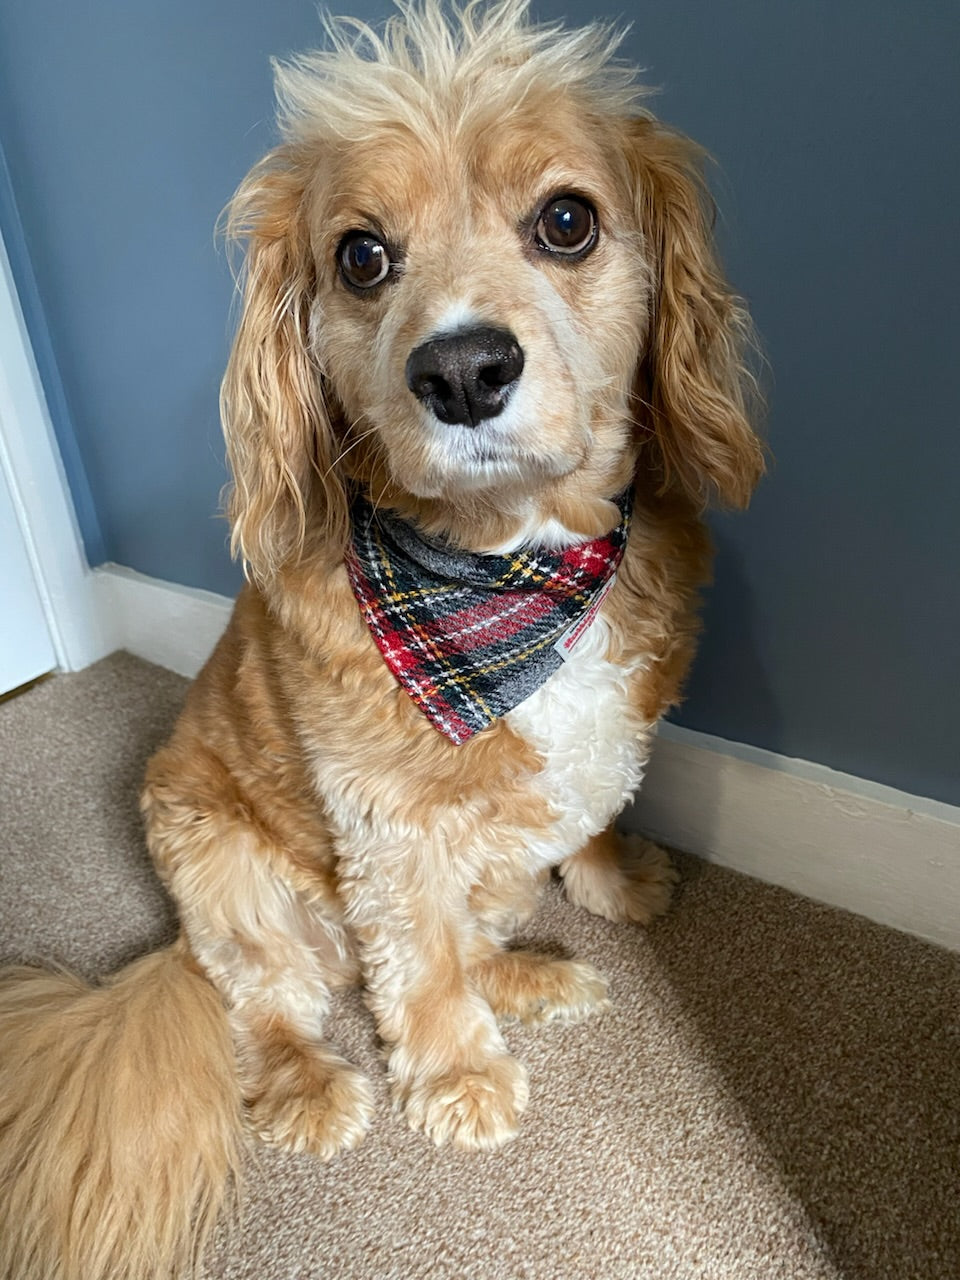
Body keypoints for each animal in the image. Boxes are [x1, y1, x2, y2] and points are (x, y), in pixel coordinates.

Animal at [0, 5, 768, 1274]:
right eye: (361, 256)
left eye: (568, 220)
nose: (461, 369)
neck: (512, 565)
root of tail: (173, 943)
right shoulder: (387, 825)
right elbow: (416, 960)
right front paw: (457, 1075)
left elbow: (585, 819)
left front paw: (612, 879)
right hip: (228, 871)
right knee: (283, 998)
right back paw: (315, 1084)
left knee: (446, 932)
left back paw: (531, 974)